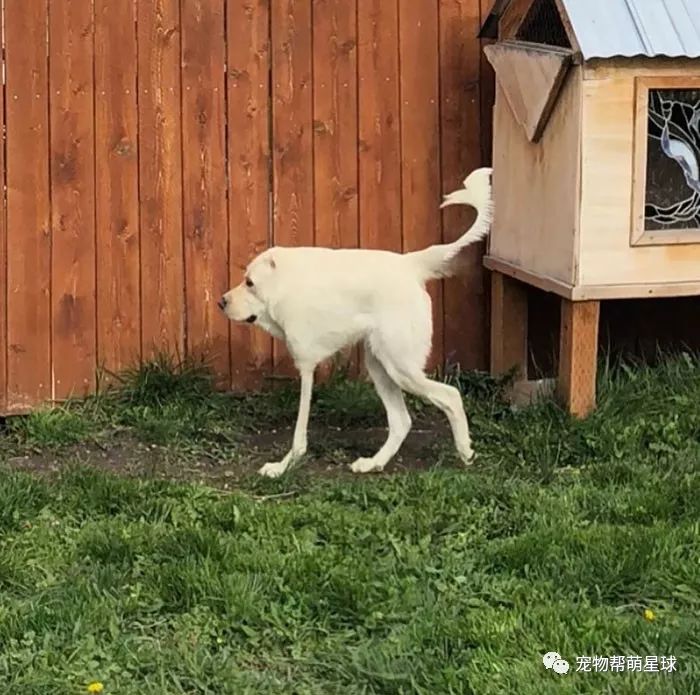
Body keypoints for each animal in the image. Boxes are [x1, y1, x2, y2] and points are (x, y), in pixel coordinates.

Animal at [219, 167, 492, 478]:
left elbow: (299, 432)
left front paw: (284, 465)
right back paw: (374, 463)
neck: (286, 285)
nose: (221, 302)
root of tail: (411, 264)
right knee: (402, 421)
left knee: (451, 396)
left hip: (401, 366)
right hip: (381, 366)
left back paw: (465, 451)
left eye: (250, 283)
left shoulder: (306, 367)